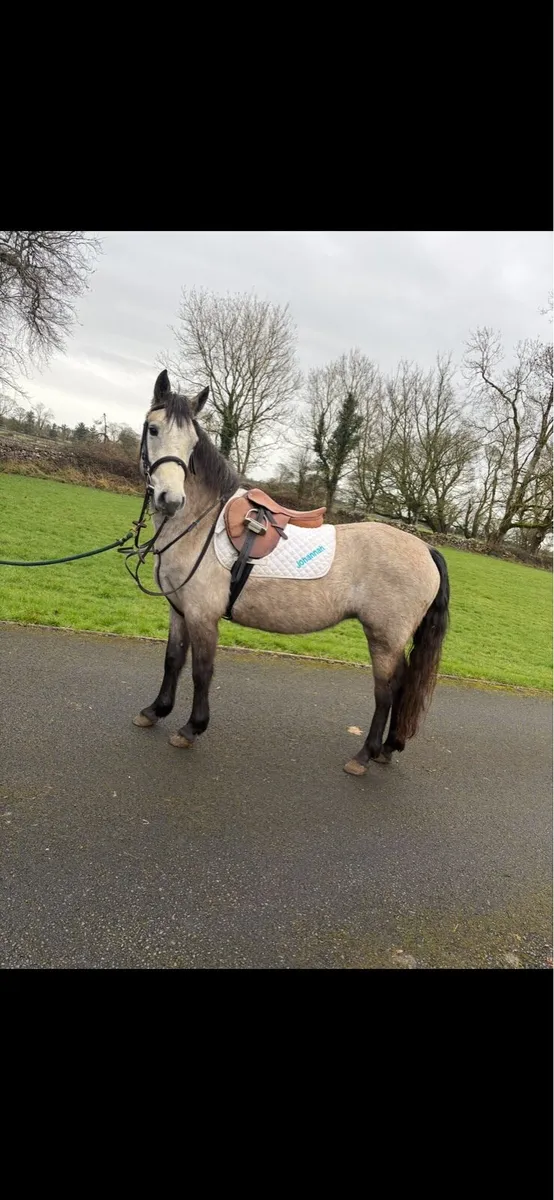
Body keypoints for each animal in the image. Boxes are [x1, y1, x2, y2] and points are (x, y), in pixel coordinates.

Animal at [132, 370, 450, 777]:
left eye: (192, 443)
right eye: (153, 429)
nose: (171, 499)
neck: (199, 524)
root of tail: (425, 548)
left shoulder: (203, 616)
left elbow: (202, 670)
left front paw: (191, 728)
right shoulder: (179, 610)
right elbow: (173, 660)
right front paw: (155, 710)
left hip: (384, 638)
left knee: (387, 689)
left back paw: (365, 754)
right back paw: (387, 749)